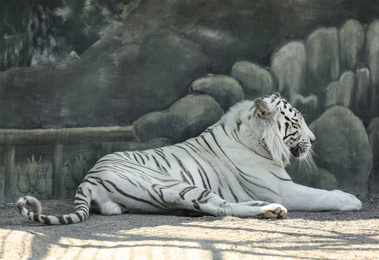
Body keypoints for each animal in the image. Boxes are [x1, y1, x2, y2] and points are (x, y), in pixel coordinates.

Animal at [17, 92, 362, 224]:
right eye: (298, 122)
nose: (314, 140)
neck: (256, 138)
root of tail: (87, 179)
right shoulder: (282, 188)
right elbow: (320, 194)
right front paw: (351, 200)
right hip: (173, 185)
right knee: (219, 208)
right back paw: (269, 210)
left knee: (219, 205)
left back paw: (266, 208)